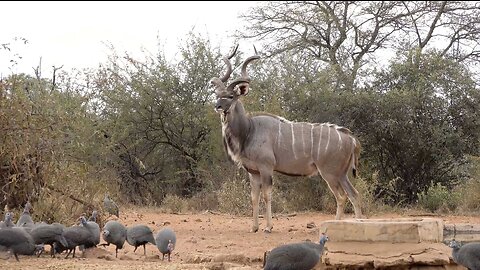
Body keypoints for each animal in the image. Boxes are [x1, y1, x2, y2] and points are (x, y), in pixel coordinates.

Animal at [211, 46, 364, 232]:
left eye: (231, 96)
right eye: (217, 94)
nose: (218, 106)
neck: (249, 130)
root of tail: (351, 138)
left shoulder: (266, 168)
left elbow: (267, 196)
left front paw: (268, 228)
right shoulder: (253, 172)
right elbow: (254, 197)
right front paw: (254, 228)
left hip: (330, 173)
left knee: (342, 196)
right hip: (342, 174)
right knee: (353, 195)